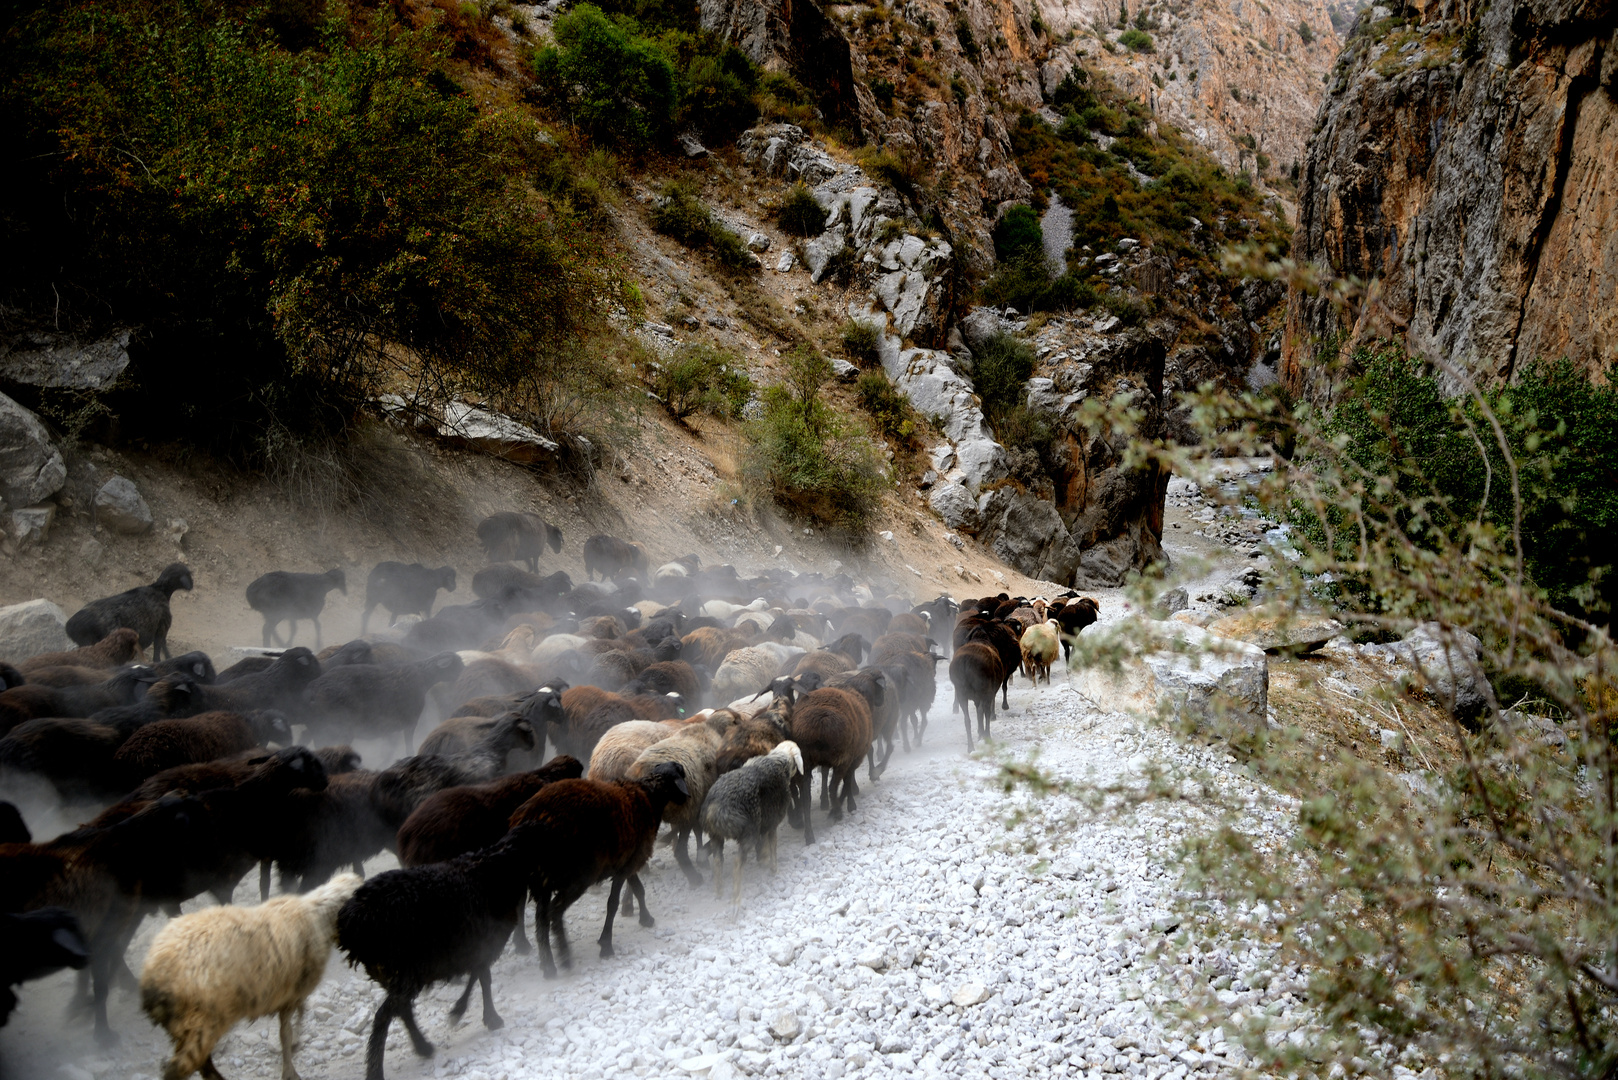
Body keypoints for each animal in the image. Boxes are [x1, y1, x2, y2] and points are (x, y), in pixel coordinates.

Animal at [66, 563, 194, 663]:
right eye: (188, 574)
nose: (192, 584)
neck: (160, 590)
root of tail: (71, 625)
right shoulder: (162, 626)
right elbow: (160, 648)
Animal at [140, 867, 362, 1080]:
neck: (318, 916)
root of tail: (153, 974)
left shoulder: (291, 991)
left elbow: (297, 1017)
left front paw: (295, 1047)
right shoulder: (293, 991)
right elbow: (287, 1031)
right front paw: (290, 1068)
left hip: (183, 1026)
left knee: (201, 1066)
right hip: (201, 1024)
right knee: (179, 1068)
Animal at [338, 822, 546, 1075]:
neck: (501, 866)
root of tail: (353, 921)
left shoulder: (474, 945)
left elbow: (478, 975)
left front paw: (464, 1011)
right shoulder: (483, 942)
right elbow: (482, 978)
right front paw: (485, 1017)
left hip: (393, 973)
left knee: (402, 1009)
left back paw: (423, 1046)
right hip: (403, 970)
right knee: (383, 1016)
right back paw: (376, 1071)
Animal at [511, 761, 689, 977]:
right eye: (681, 776)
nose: (687, 798)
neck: (649, 797)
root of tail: (531, 816)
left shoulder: (626, 862)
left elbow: (639, 889)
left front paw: (646, 919)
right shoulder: (627, 865)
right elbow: (612, 904)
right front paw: (606, 945)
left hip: (542, 879)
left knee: (541, 919)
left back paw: (549, 967)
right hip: (577, 876)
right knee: (554, 911)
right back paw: (564, 957)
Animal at [705, 744, 805, 913]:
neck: (779, 761)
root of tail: (716, 808)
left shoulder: (764, 823)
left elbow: (763, 843)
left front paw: (763, 859)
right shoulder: (772, 821)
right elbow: (772, 845)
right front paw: (773, 868)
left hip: (716, 835)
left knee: (718, 860)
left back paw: (719, 891)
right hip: (748, 832)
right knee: (737, 862)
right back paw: (736, 902)